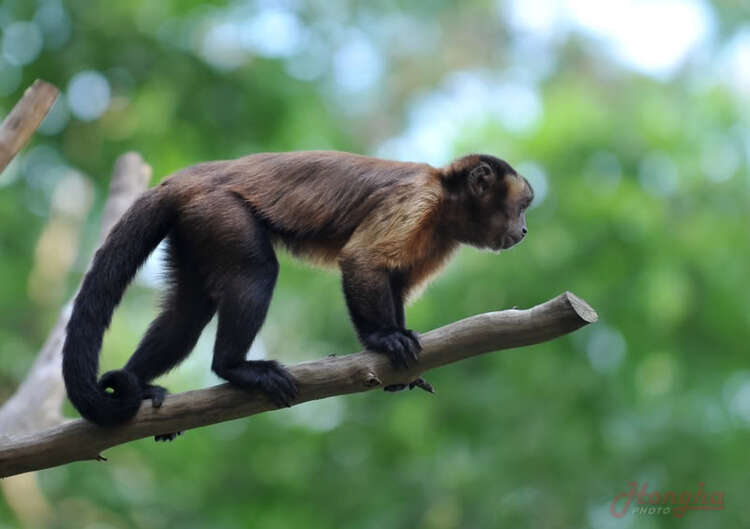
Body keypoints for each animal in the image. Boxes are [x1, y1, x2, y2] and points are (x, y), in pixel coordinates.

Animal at [61, 151, 536, 432]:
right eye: (521, 206)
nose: (525, 229)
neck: (445, 200)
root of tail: (186, 179)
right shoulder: (415, 200)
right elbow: (362, 260)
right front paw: (383, 339)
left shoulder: (439, 237)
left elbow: (395, 282)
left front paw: (401, 364)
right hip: (219, 210)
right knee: (256, 273)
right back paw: (233, 366)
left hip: (193, 223)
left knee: (189, 311)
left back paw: (139, 385)